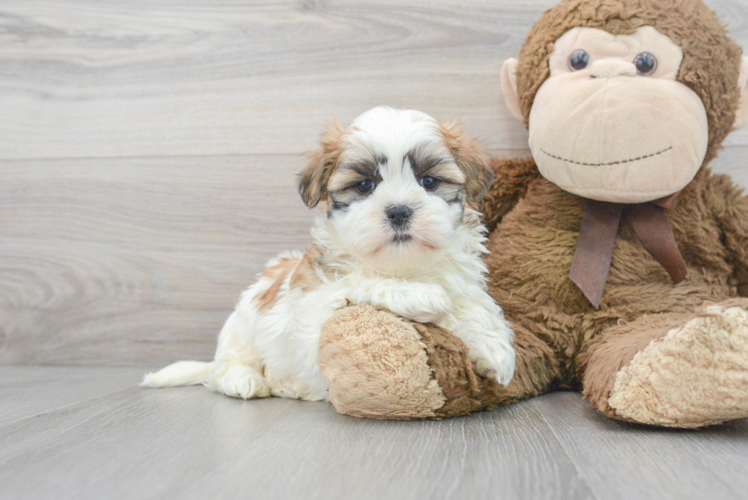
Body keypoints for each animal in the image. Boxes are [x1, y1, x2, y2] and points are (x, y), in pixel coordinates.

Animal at [140, 106, 516, 402]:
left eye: (429, 181)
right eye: (364, 185)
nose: (398, 211)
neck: (403, 266)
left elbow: (474, 305)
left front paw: (492, 346)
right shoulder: (312, 315)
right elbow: (360, 282)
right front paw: (420, 295)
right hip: (241, 327)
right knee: (224, 369)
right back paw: (243, 379)